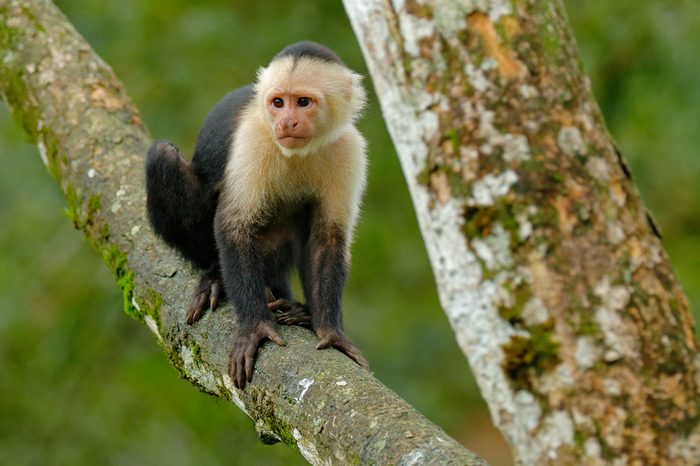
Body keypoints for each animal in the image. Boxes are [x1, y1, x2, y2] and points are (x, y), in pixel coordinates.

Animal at [146, 41, 370, 390]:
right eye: (278, 103)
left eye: (302, 102)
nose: (286, 122)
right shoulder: (254, 139)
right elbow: (234, 225)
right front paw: (255, 326)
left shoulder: (348, 148)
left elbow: (327, 239)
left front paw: (330, 330)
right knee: (163, 157)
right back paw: (215, 276)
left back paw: (301, 311)